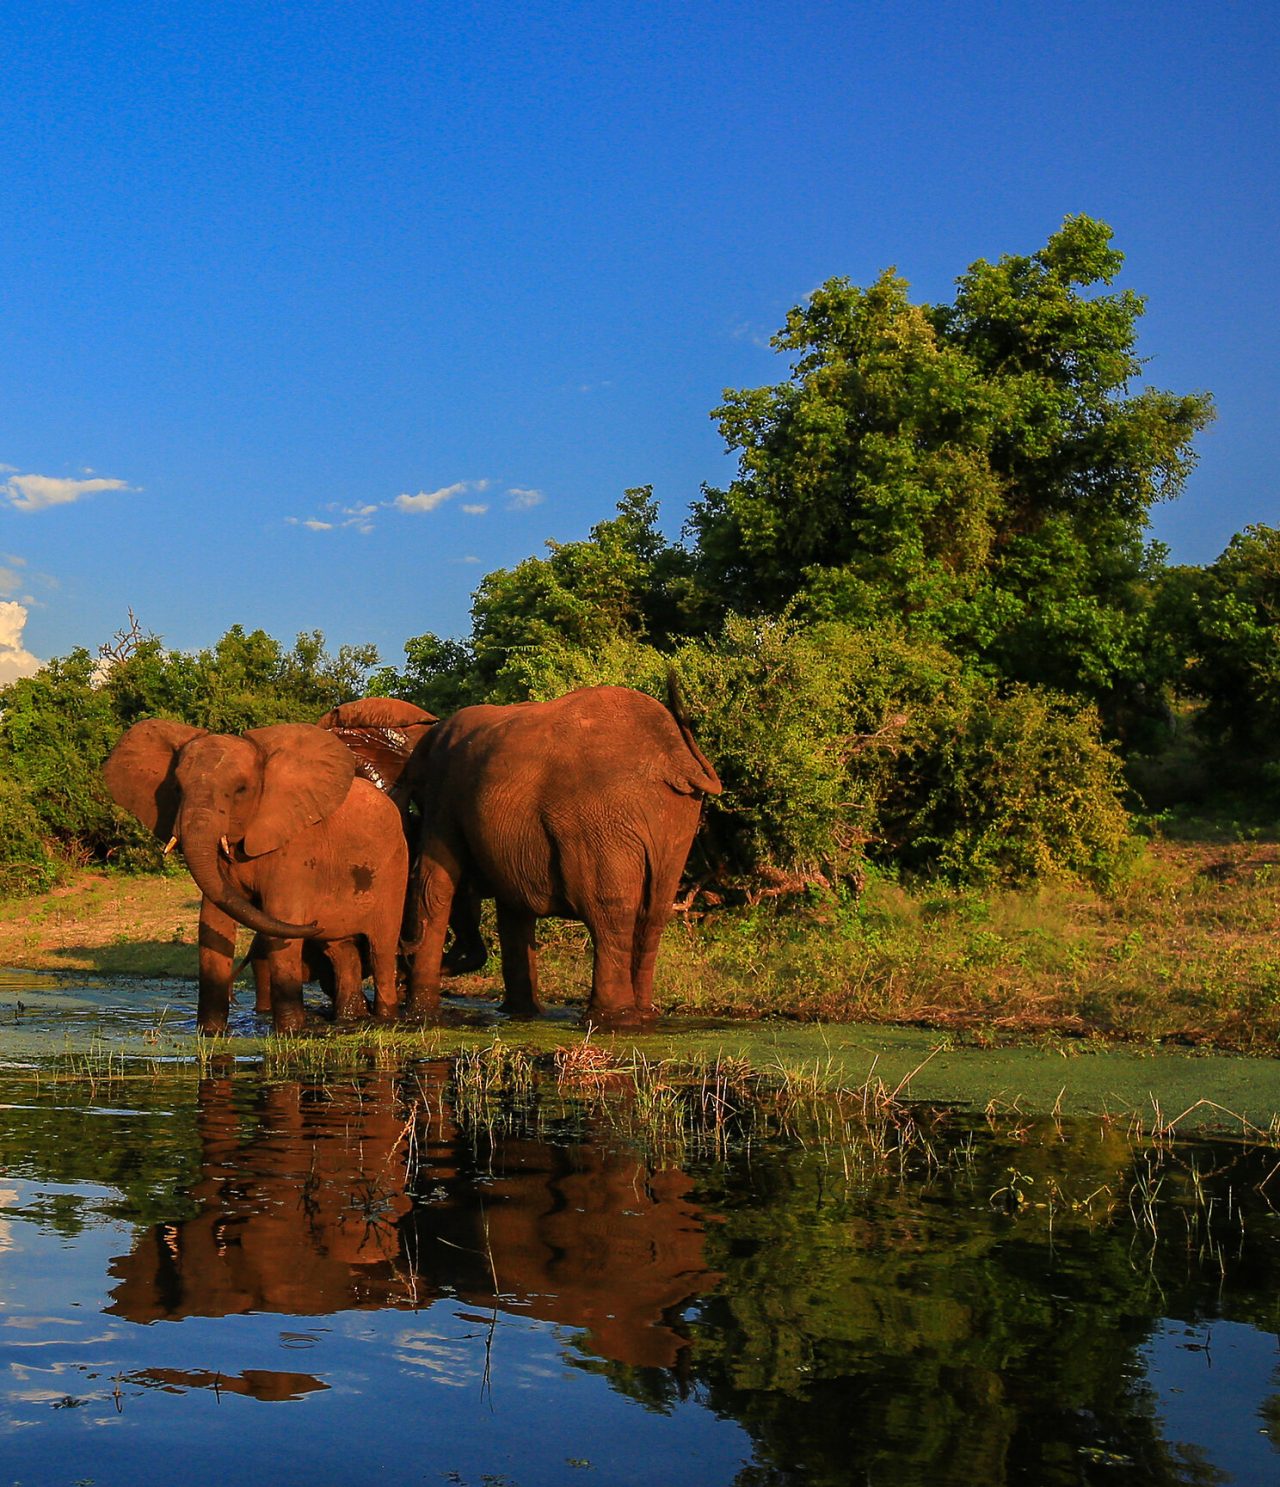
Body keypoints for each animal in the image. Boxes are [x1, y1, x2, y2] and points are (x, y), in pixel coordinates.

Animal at [103, 719, 408, 1034]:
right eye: (176, 788)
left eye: (241, 790)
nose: (314, 921)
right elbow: (213, 922)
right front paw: (210, 1034)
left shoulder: (296, 848)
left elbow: (281, 918)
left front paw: (290, 1033)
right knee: (342, 950)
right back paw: (350, 1018)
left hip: (395, 869)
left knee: (381, 949)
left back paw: (385, 1019)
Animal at [406, 681, 721, 1025]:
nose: (403, 960)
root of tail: (674, 757)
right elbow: (513, 906)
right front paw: (520, 1014)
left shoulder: (443, 791)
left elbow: (433, 884)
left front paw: (420, 1016)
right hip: (673, 818)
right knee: (653, 913)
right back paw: (641, 1017)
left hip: (600, 818)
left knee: (608, 912)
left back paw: (609, 1020)